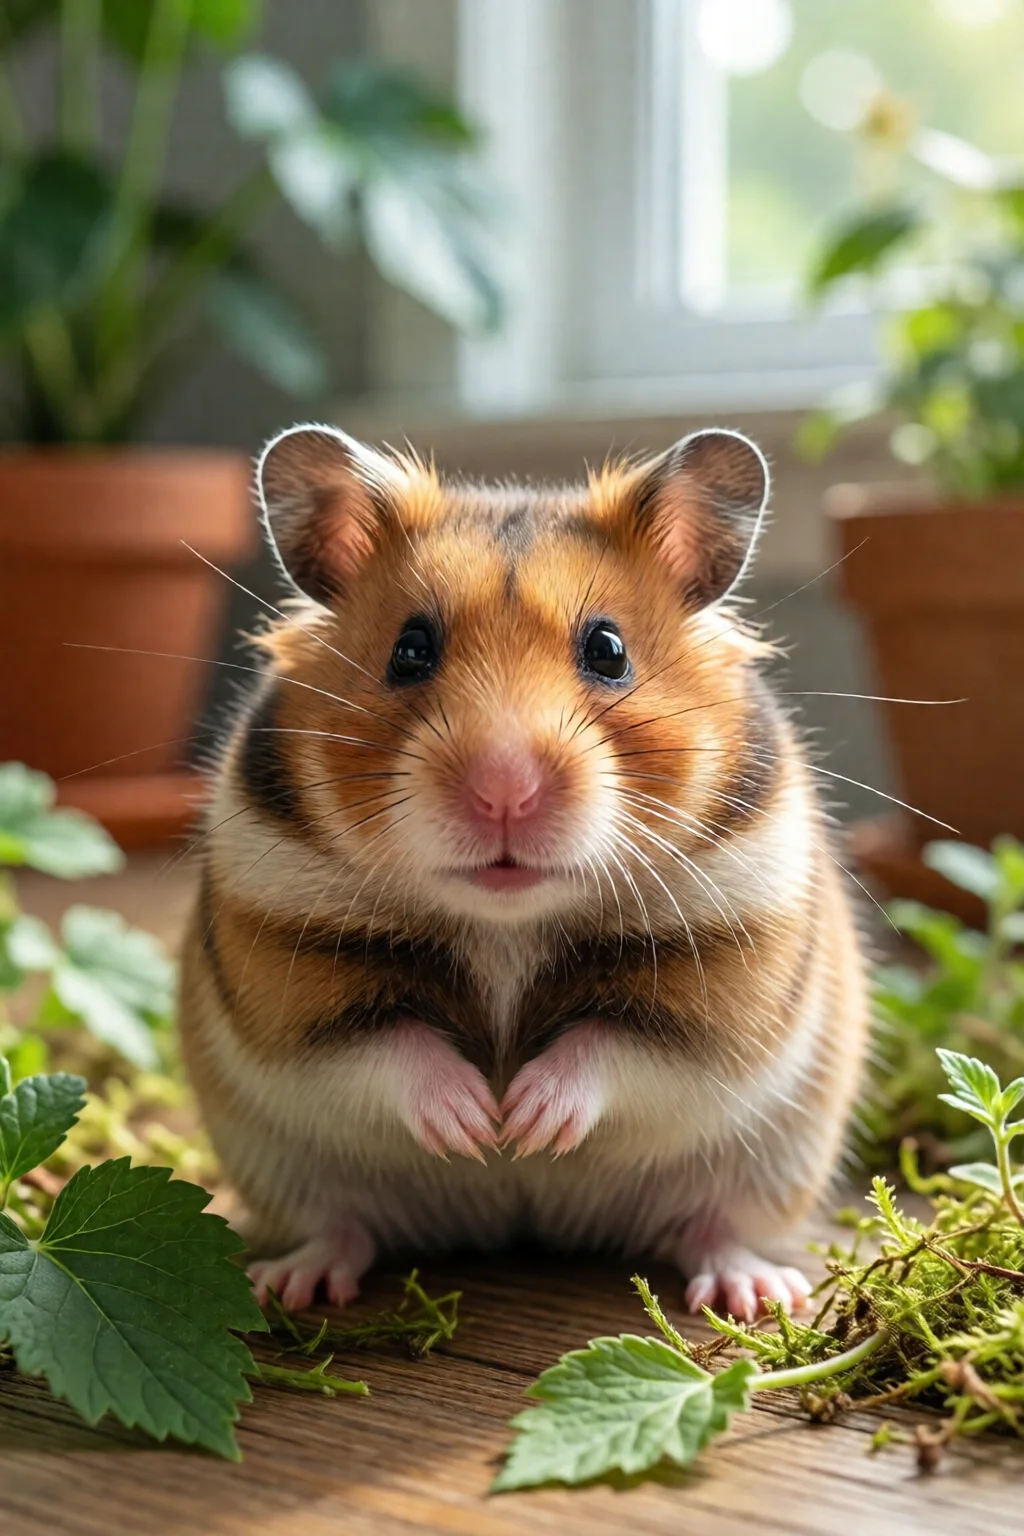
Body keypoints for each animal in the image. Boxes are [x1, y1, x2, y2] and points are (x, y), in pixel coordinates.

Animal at [179, 422, 868, 1323]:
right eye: (409, 650)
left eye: (608, 650)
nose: (504, 790)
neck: (507, 921)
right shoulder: (295, 990)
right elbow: (389, 1046)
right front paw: (478, 1125)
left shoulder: (716, 989)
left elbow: (612, 1045)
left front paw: (528, 1124)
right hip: (286, 1169)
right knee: (343, 1225)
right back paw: (292, 1287)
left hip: (772, 1166)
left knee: (709, 1227)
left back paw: (753, 1293)